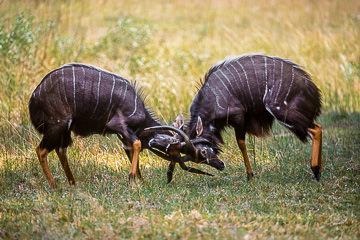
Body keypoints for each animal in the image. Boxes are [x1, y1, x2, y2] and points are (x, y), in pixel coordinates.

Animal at [29, 63, 210, 188]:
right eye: (177, 148)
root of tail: (35, 97)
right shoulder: (118, 126)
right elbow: (137, 144)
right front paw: (131, 178)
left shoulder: (123, 137)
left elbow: (132, 149)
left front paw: (140, 181)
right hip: (57, 126)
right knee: (41, 150)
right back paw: (55, 186)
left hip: (65, 130)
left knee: (61, 150)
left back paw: (73, 182)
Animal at [148, 54, 322, 182]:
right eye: (196, 159)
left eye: (203, 151)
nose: (220, 165)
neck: (211, 98)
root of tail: (311, 88)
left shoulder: (238, 117)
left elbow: (241, 143)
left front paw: (250, 175)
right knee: (318, 127)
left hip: (282, 112)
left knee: (315, 129)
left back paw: (316, 171)